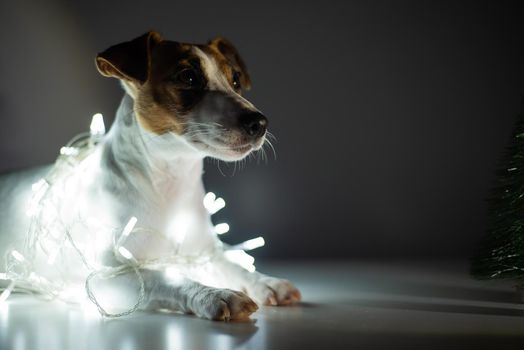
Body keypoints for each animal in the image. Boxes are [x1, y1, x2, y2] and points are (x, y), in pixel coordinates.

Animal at [0, 31, 298, 322]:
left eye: (235, 80)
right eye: (188, 76)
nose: (259, 123)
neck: (170, 183)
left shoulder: (205, 252)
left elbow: (234, 264)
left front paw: (266, 282)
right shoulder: (108, 275)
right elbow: (165, 278)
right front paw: (214, 294)